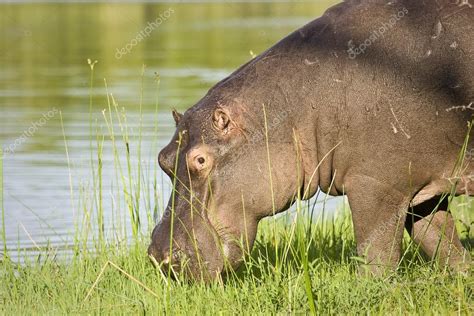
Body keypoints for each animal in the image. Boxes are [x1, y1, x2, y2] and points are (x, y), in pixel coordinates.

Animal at [146, 0, 472, 282]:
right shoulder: (421, 189)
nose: (157, 256)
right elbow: (441, 242)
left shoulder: (377, 186)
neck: (293, 109)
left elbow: (376, 254)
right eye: (163, 159)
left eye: (200, 159)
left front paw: (373, 289)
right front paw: (463, 278)